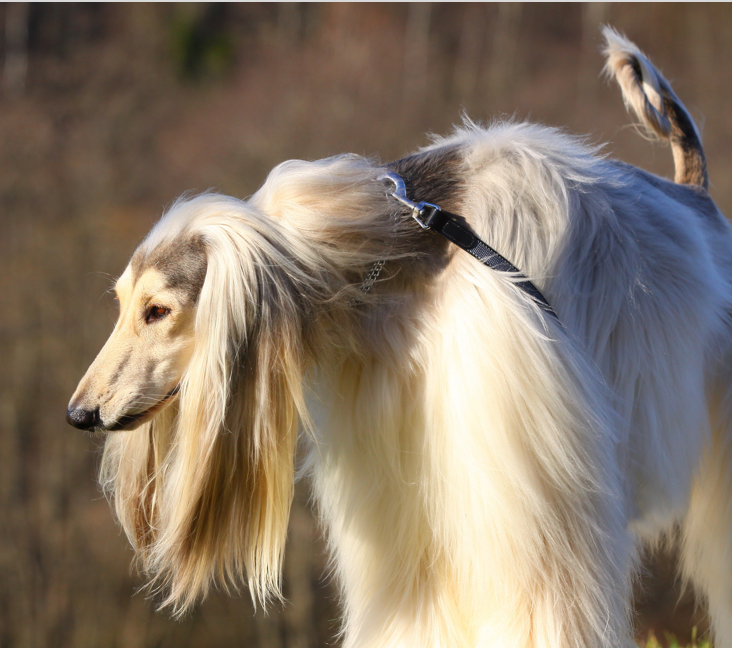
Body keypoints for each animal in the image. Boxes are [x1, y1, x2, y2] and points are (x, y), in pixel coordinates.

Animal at [67, 30, 732, 648]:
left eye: (158, 311)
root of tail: (698, 196)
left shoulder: (532, 501)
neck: (391, 265)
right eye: (124, 304)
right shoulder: (402, 492)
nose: (80, 413)